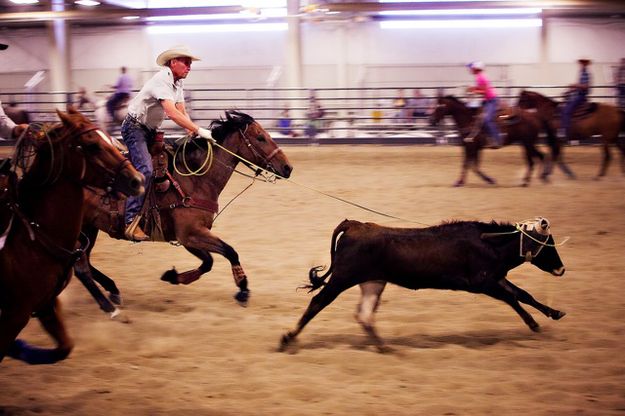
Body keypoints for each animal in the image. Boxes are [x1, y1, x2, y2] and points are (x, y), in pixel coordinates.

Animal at [0, 107, 143, 364]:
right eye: (92, 145)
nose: (137, 180)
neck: (32, 235)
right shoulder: (15, 313)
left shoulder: (45, 305)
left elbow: (64, 347)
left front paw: (20, 349)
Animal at [428, 96, 556, 187]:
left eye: (440, 107)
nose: (431, 120)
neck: (469, 121)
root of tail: (535, 116)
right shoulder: (471, 147)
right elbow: (471, 165)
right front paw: (460, 182)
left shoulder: (472, 147)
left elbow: (470, 166)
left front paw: (489, 180)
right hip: (529, 143)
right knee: (541, 156)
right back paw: (542, 178)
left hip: (527, 143)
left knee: (532, 161)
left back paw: (526, 181)